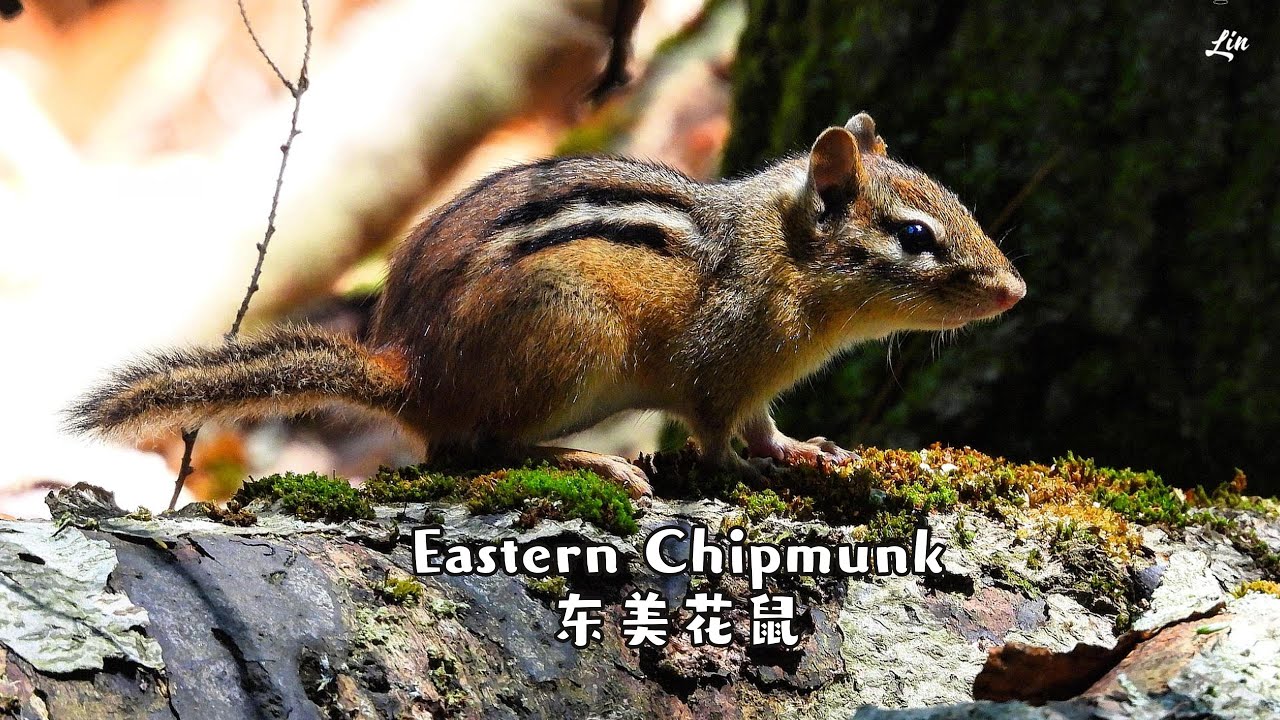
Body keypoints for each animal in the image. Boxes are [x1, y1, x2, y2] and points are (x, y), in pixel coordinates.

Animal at [68, 113, 1025, 498]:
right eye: (914, 236)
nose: (1016, 289)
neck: (785, 260)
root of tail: (409, 370)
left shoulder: (759, 383)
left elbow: (765, 425)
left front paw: (804, 451)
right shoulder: (722, 364)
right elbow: (716, 433)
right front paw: (745, 471)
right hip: (571, 337)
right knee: (481, 448)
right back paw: (595, 463)